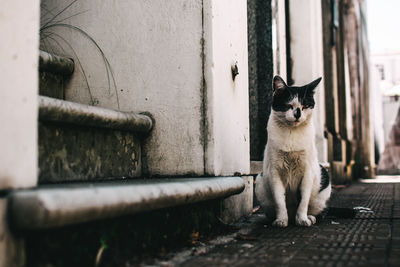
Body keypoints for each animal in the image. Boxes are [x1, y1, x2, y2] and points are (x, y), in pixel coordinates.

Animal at [256, 75, 332, 228]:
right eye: (289, 105)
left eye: (305, 106)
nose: (298, 113)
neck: (292, 133)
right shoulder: (274, 172)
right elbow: (279, 201)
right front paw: (281, 220)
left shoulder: (307, 172)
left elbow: (303, 200)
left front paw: (302, 219)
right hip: (260, 183)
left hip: (323, 183)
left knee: (319, 211)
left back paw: (310, 218)